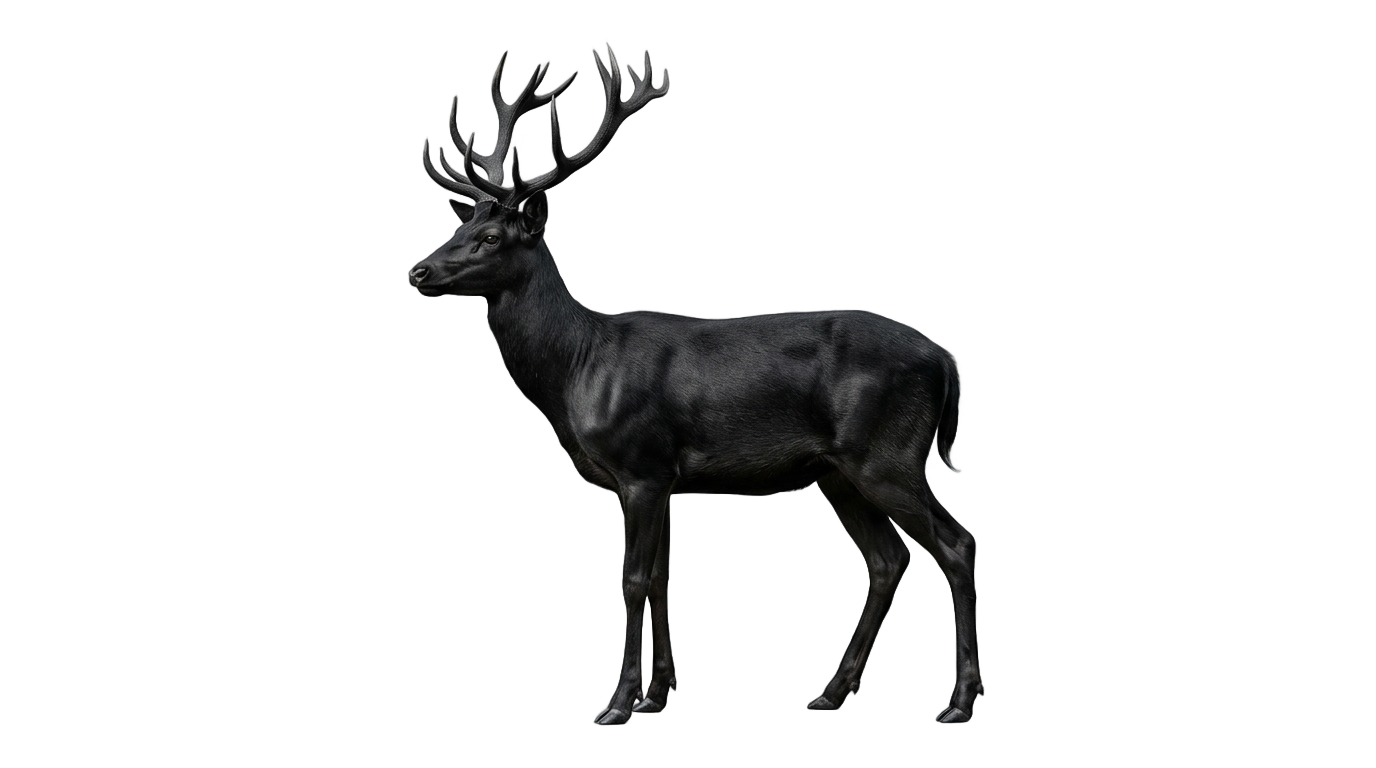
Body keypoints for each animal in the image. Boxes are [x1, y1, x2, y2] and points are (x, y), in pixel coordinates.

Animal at [405, 45, 984, 726]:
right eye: (457, 227)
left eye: (492, 236)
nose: (420, 271)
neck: (577, 372)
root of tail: (946, 360)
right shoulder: (662, 479)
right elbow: (659, 580)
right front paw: (658, 695)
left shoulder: (643, 465)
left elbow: (632, 581)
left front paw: (617, 704)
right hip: (840, 471)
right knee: (890, 558)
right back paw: (831, 693)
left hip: (887, 454)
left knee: (955, 546)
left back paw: (960, 703)